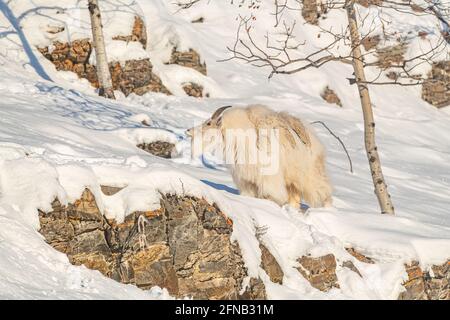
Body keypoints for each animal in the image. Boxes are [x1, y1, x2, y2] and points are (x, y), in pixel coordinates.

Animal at [185, 105, 332, 209]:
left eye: (209, 123)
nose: (188, 131)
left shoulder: (268, 178)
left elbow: (270, 195)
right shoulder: (247, 180)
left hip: (309, 175)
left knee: (323, 191)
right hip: (292, 181)